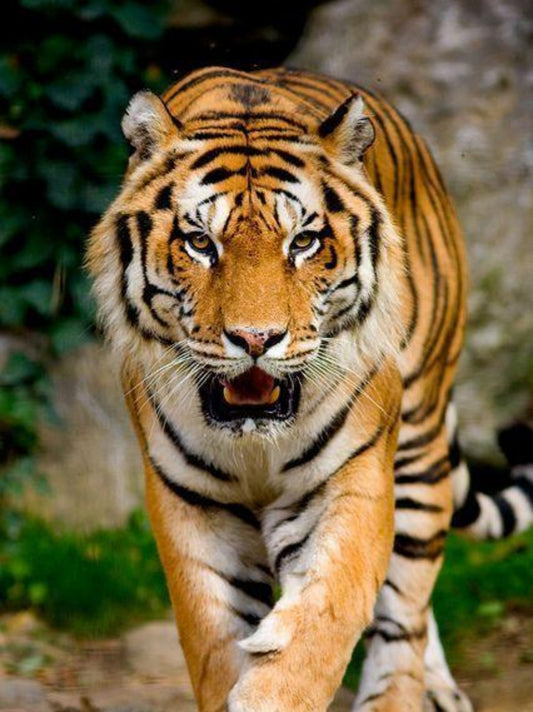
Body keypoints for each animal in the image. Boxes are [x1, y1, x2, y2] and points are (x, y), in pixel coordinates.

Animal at [87, 66, 533, 711]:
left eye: (303, 243)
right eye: (200, 243)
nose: (256, 338)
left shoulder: (351, 479)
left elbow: (327, 618)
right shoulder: (192, 506)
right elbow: (214, 641)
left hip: (419, 447)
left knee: (406, 611)